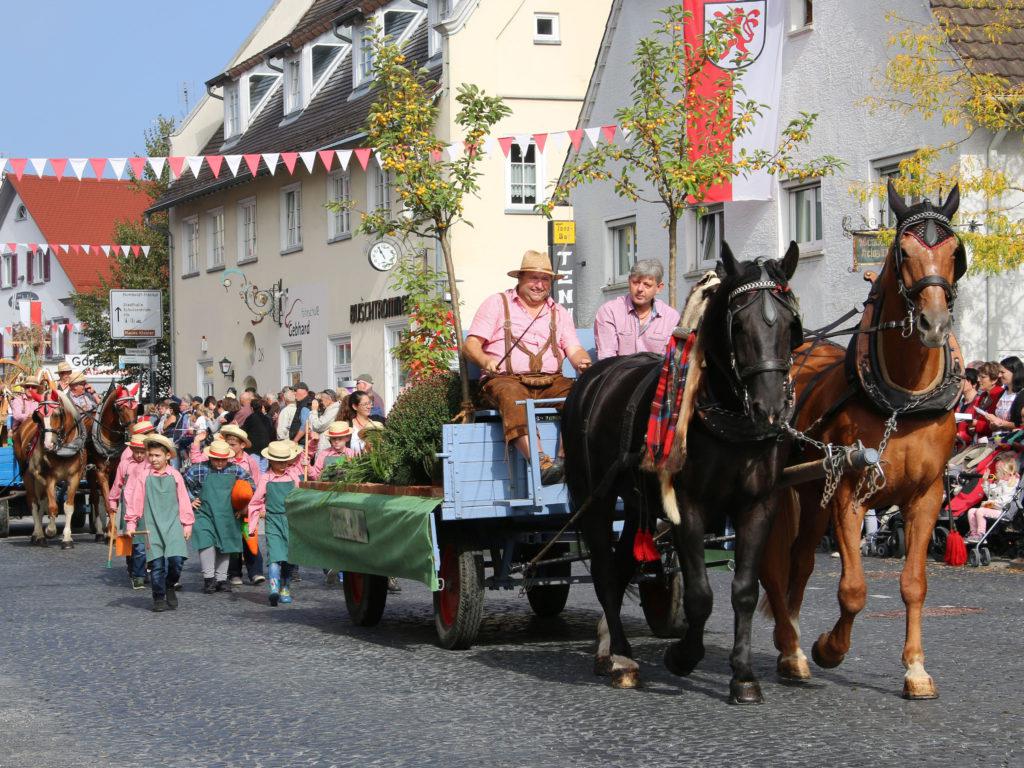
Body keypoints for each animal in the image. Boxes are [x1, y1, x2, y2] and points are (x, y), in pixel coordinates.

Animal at [14, 391, 89, 548]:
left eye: (57, 414)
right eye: (39, 416)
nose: (48, 445)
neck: (65, 449)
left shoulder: (75, 477)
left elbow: (68, 506)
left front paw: (67, 539)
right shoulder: (50, 478)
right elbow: (53, 506)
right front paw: (50, 530)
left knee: (42, 502)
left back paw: (37, 534)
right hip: (28, 475)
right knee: (34, 503)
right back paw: (39, 535)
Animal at [561, 240, 806, 704]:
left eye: (789, 324)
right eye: (738, 325)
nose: (770, 410)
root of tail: (592, 379)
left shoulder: (758, 505)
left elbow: (744, 591)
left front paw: (743, 675)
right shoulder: (687, 506)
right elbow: (699, 595)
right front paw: (682, 656)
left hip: (634, 503)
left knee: (622, 564)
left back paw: (612, 649)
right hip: (595, 498)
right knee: (604, 572)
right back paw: (621, 657)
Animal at [761, 182, 966, 704]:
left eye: (955, 252)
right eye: (903, 251)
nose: (935, 323)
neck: (902, 401)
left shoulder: (926, 497)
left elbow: (914, 584)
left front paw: (916, 670)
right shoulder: (851, 493)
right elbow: (852, 588)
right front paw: (829, 648)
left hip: (813, 494)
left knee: (800, 564)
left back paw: (790, 645)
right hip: (785, 492)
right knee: (773, 567)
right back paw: (791, 648)